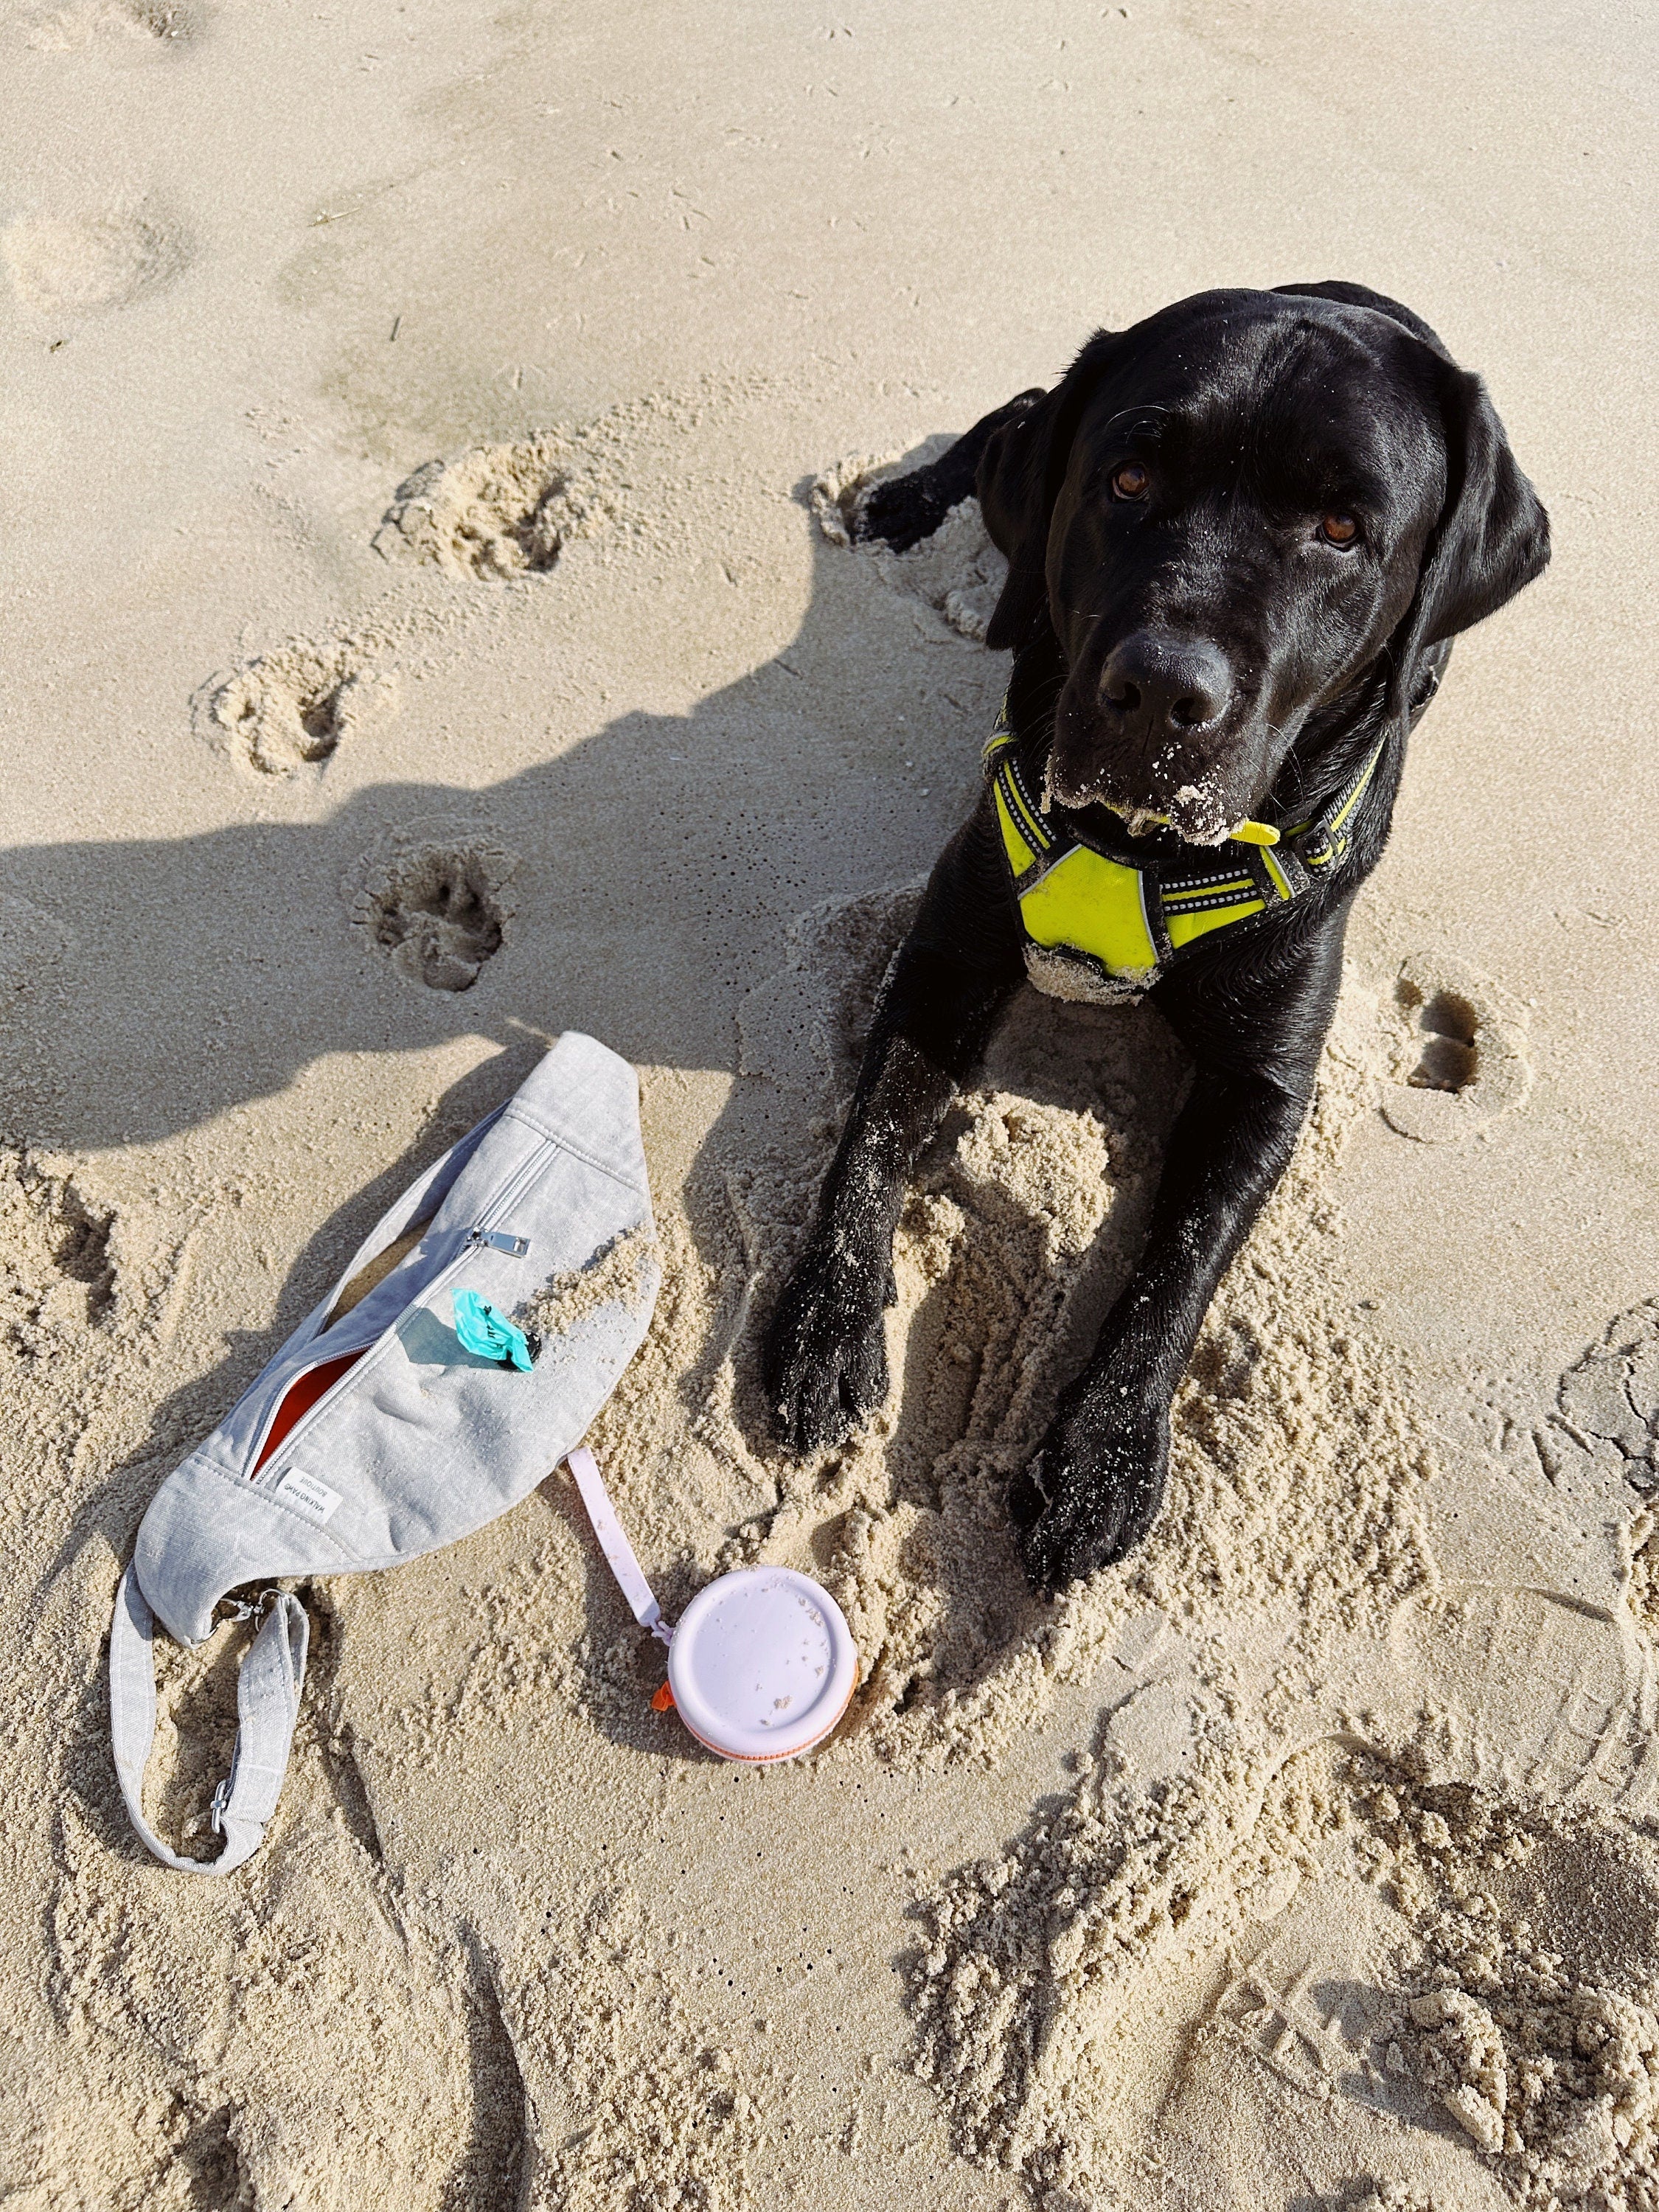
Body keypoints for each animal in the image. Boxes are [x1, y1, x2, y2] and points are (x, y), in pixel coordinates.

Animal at [761, 281, 1557, 1593]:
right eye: (1128, 478)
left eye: (1342, 526)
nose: (1159, 696)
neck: (1140, 853)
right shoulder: (944, 955)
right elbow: (873, 1129)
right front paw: (822, 1319)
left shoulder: (1264, 1083)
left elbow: (1177, 1260)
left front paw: (1105, 1451)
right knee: (1012, 422)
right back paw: (899, 500)